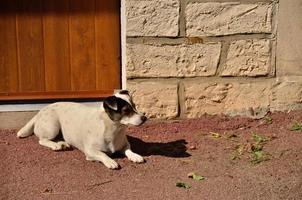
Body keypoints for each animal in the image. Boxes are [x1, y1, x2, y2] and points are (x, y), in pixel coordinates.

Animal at [17, 90, 147, 170]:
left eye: (134, 106)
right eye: (126, 110)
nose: (144, 118)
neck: (114, 129)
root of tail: (40, 111)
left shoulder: (124, 145)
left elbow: (128, 150)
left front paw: (135, 156)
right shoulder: (90, 151)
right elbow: (103, 155)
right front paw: (110, 161)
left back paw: (63, 143)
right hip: (52, 126)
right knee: (42, 140)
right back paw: (55, 145)